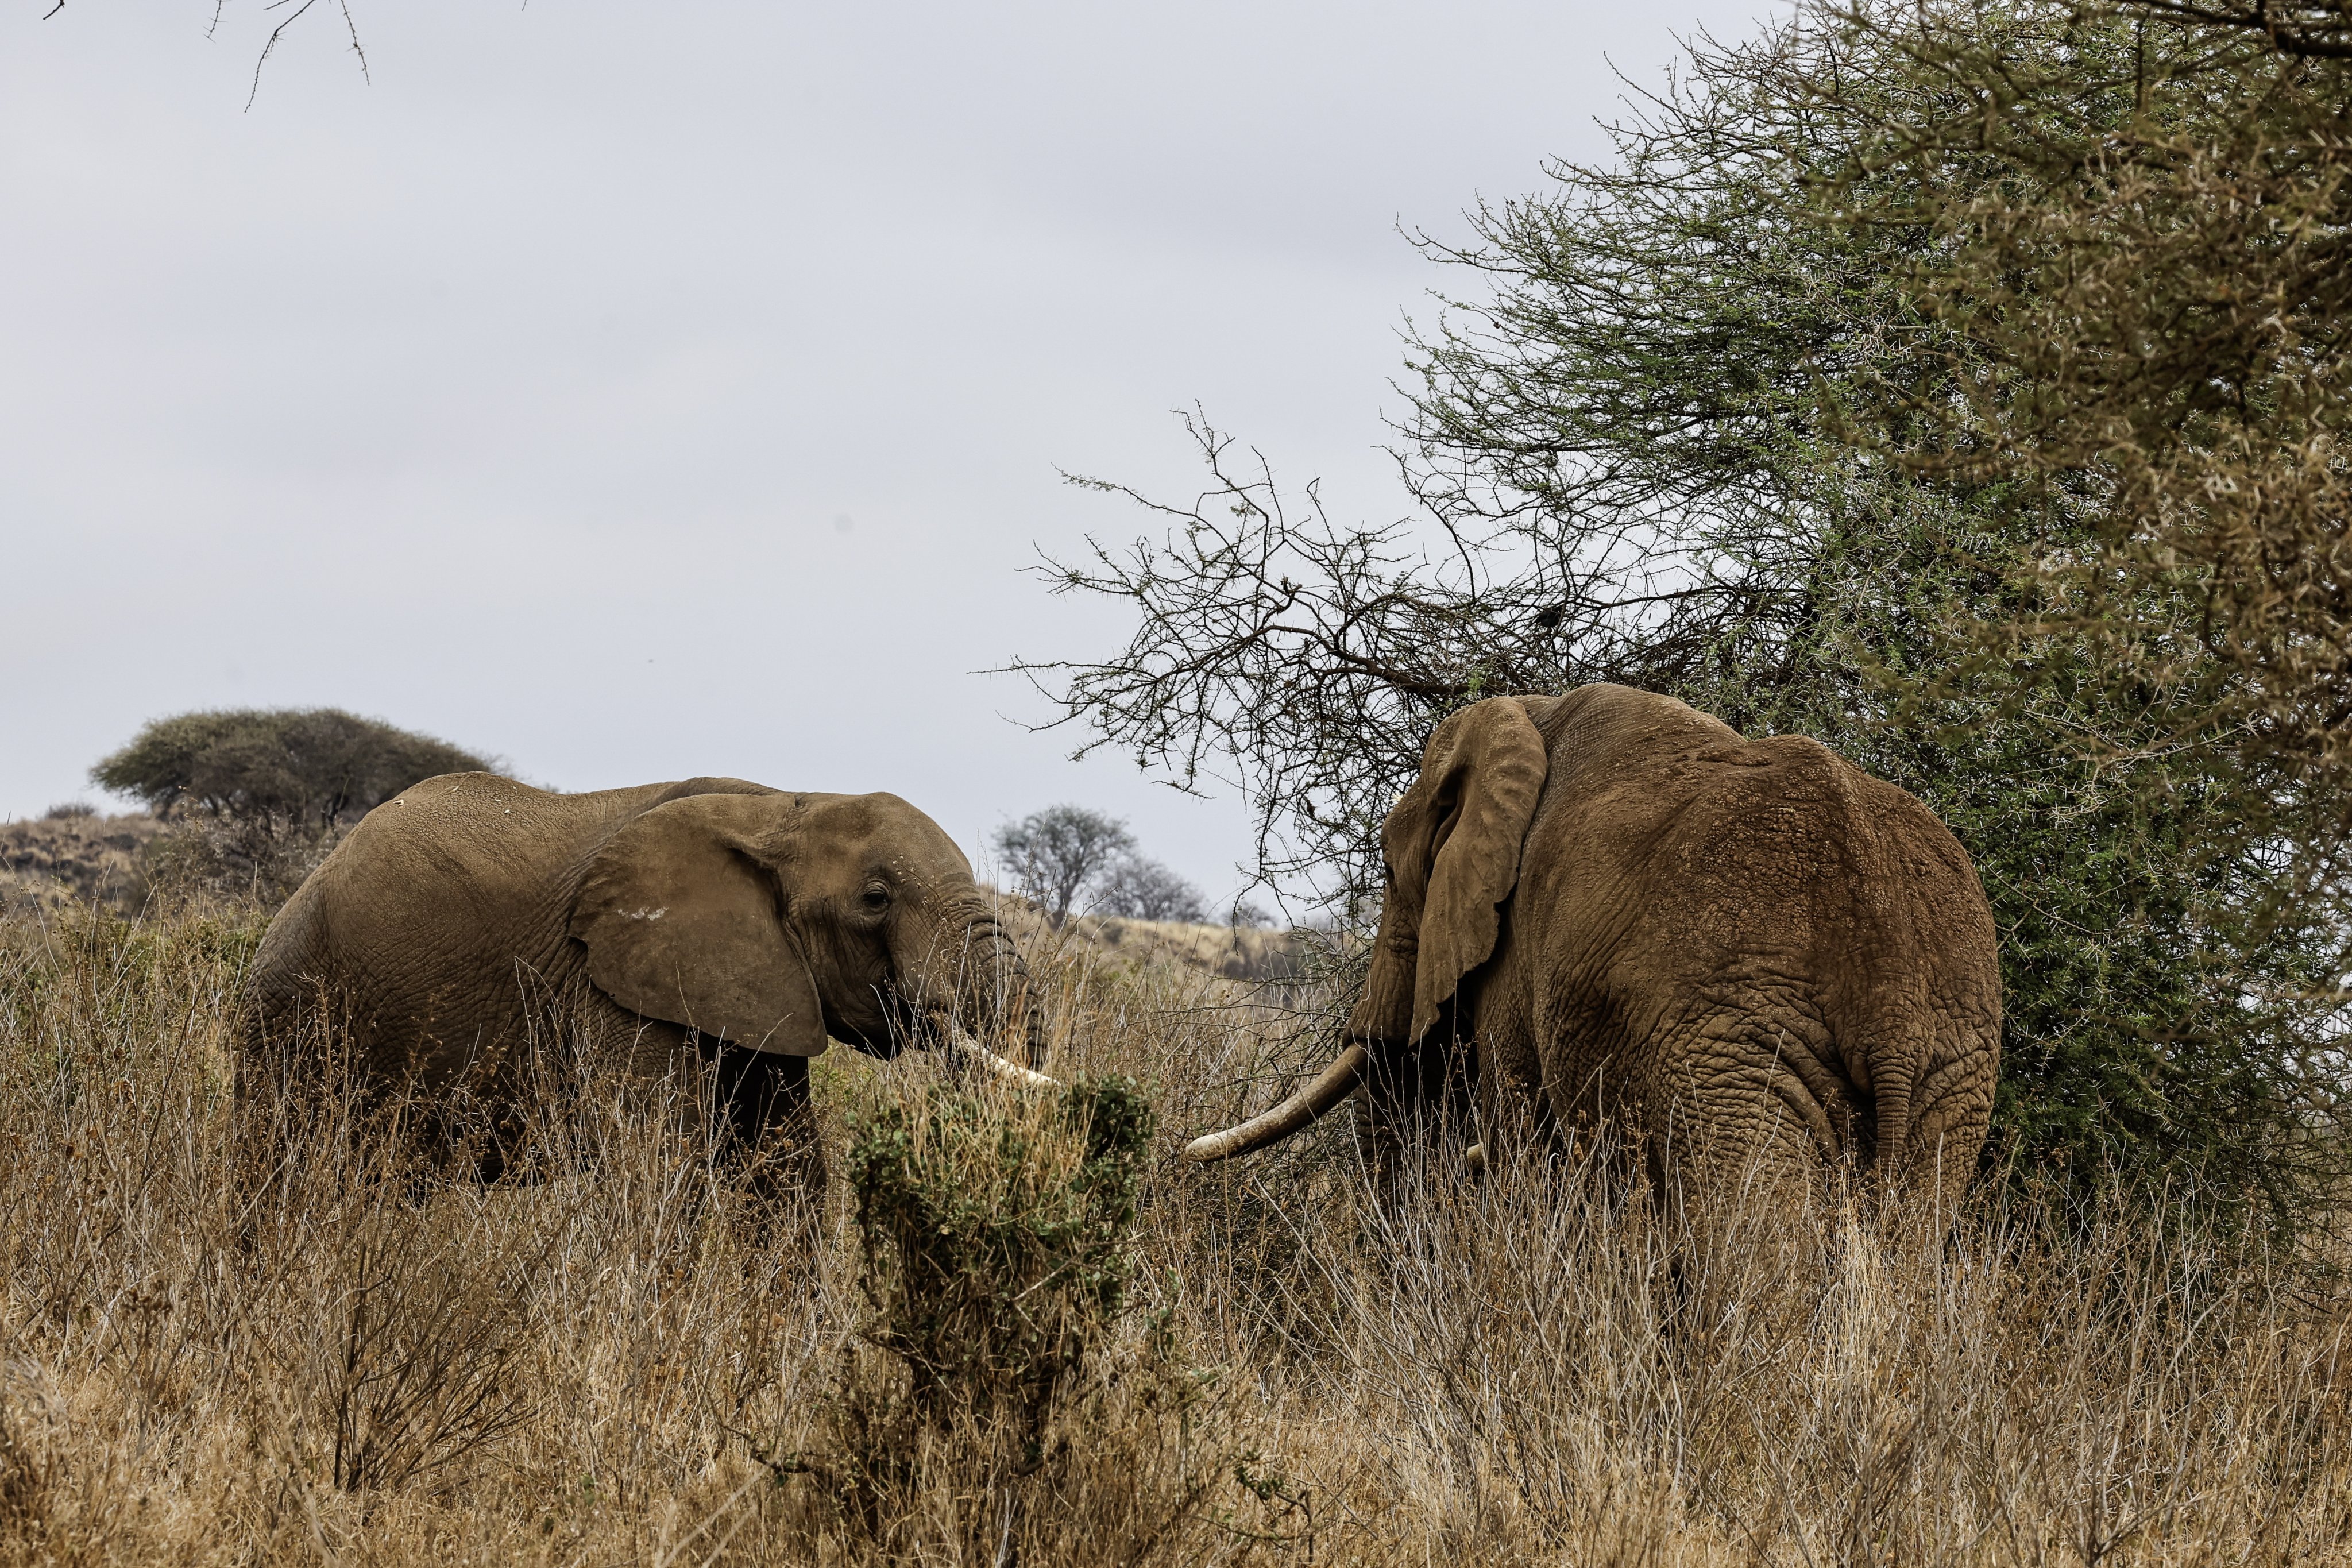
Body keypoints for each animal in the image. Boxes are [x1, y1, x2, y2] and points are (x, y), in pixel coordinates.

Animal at [246, 772, 1054, 1189]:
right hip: (293, 1015)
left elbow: (788, 1178)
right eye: (876, 900)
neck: (780, 806)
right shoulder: (615, 990)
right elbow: (660, 1169)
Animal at [1185, 684, 2002, 1221]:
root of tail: (1889, 995)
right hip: (1954, 1064)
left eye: (1387, 874)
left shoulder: (1518, 958)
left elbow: (1519, 1137)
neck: (1531, 717)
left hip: (1732, 1049)